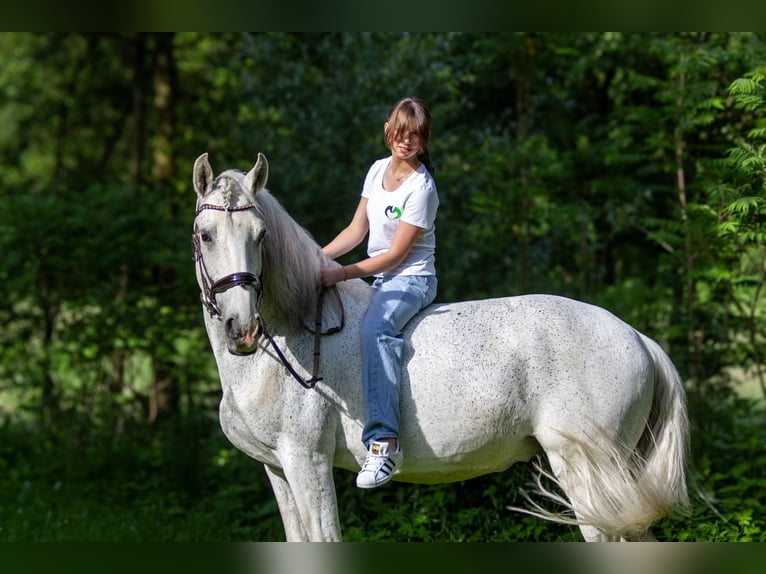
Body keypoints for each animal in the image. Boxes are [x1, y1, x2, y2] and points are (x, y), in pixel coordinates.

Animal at [190, 152, 688, 540]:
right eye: (206, 234)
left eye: (261, 236)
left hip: (590, 477)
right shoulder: (277, 468)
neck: (289, 339)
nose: (242, 328)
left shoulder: (307, 462)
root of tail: (636, 337)